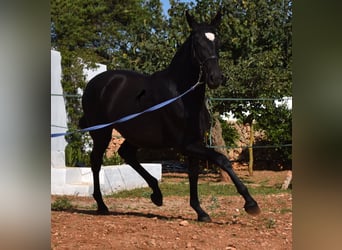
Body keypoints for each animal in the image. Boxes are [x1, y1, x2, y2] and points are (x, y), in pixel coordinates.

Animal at [79, 9, 260, 222]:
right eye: (197, 42)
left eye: (218, 41)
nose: (215, 78)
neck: (182, 95)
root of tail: (93, 83)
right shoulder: (186, 145)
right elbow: (221, 160)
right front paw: (251, 203)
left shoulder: (194, 143)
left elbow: (193, 174)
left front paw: (200, 212)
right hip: (102, 133)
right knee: (96, 161)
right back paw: (101, 204)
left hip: (136, 135)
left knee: (126, 154)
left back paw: (156, 194)